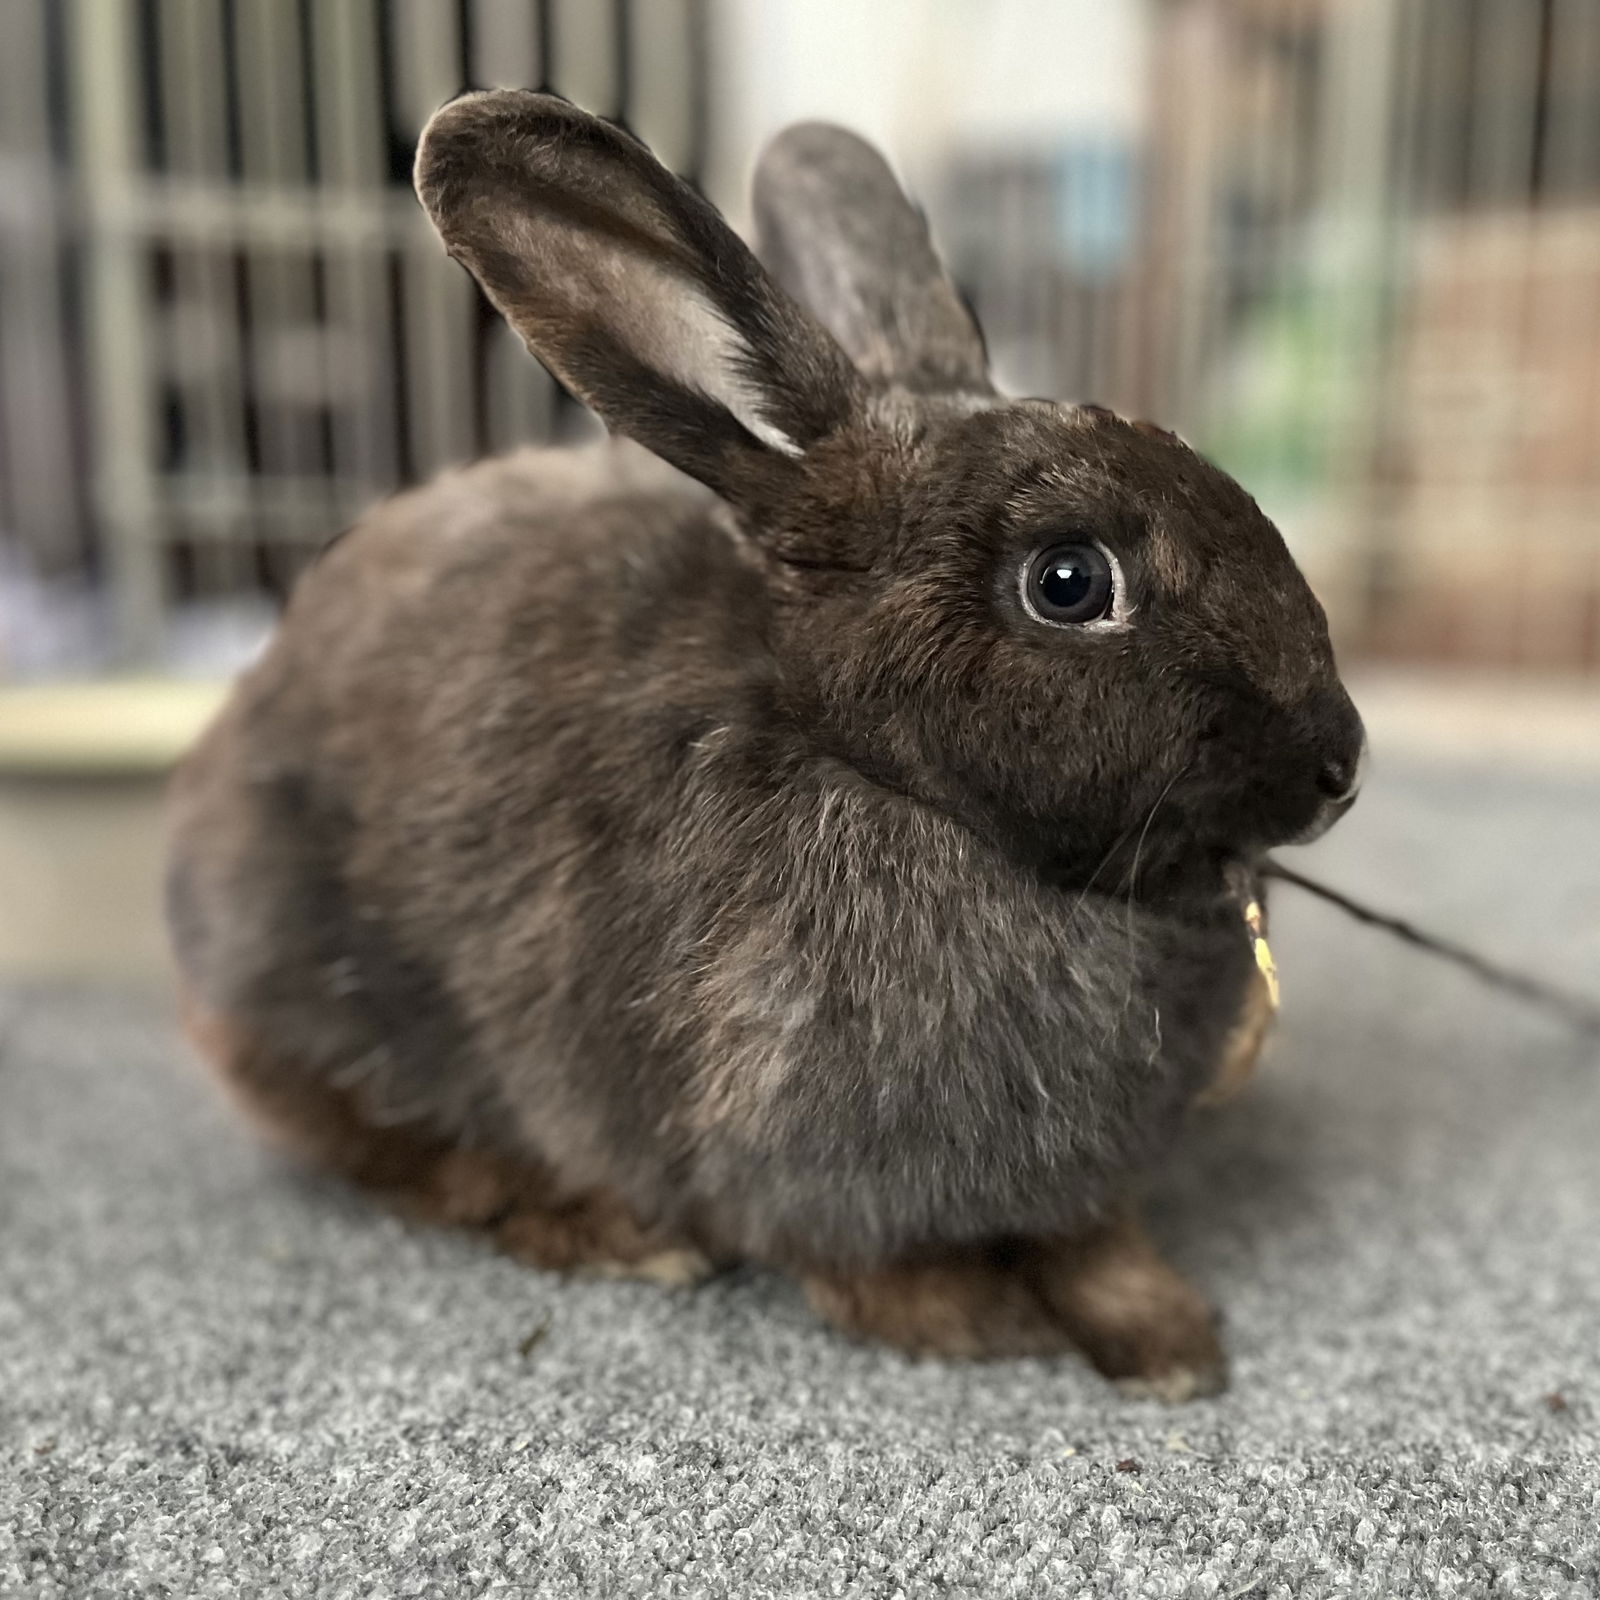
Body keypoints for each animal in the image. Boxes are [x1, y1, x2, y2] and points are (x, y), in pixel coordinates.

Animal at [165, 93, 1363, 1401]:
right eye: (1068, 581)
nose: (1339, 763)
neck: (882, 775)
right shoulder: (803, 1162)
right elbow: (872, 1268)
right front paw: (978, 1321)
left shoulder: (1080, 1189)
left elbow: (1097, 1243)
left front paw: (1168, 1342)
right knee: (405, 1153)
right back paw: (608, 1231)